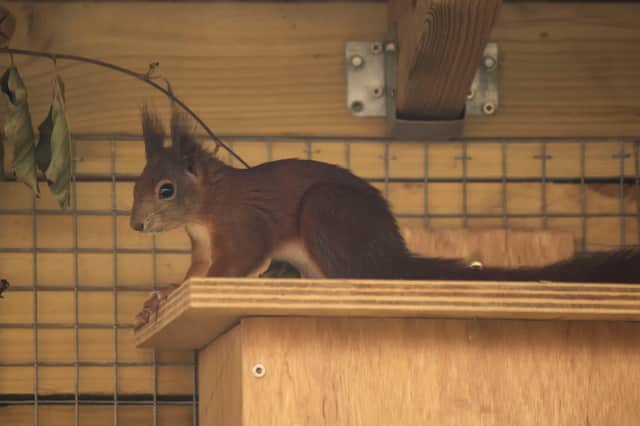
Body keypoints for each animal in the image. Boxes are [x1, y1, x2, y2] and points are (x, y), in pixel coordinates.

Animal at [130, 105, 640, 326]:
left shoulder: (242, 227)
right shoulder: (202, 245)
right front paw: (163, 295)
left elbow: (232, 266)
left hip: (326, 214)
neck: (206, 209)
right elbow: (194, 273)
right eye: (136, 183)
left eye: (165, 189)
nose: (135, 224)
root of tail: (390, 259)